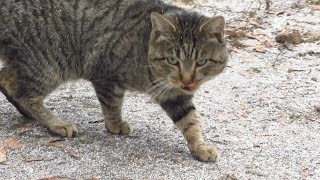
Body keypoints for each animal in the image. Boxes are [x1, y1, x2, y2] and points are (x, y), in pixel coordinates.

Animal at [1, 0, 229, 161]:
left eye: (201, 62)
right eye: (173, 60)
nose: (187, 80)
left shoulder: (175, 94)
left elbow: (190, 121)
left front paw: (199, 146)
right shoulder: (106, 75)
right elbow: (112, 104)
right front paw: (115, 125)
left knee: (7, 80)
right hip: (48, 63)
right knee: (25, 94)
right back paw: (56, 123)